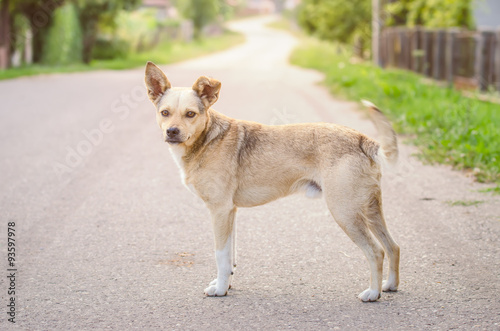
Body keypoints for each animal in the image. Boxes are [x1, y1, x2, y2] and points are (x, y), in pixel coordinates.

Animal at [144, 62, 398, 304]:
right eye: (165, 112)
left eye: (190, 114)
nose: (172, 131)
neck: (207, 138)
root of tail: (363, 140)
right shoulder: (230, 212)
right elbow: (229, 256)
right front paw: (225, 284)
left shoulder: (219, 211)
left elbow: (220, 255)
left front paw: (220, 289)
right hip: (371, 210)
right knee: (392, 246)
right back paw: (390, 285)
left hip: (345, 212)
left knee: (376, 251)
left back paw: (373, 293)